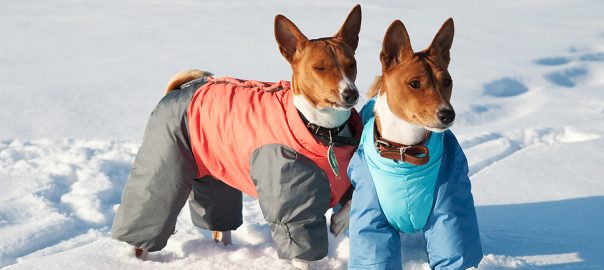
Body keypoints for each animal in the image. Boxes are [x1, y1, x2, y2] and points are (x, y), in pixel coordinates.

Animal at [111, 4, 360, 270]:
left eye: (351, 64)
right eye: (320, 68)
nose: (351, 94)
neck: (324, 132)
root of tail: (178, 89)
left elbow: (356, 197)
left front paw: (340, 221)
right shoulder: (293, 207)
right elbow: (302, 253)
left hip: (215, 174)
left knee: (220, 224)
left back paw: (226, 251)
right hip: (165, 166)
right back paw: (137, 260)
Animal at [338, 18, 484, 268]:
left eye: (447, 81)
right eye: (414, 83)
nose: (448, 114)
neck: (405, 152)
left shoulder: (448, 209)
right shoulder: (372, 218)